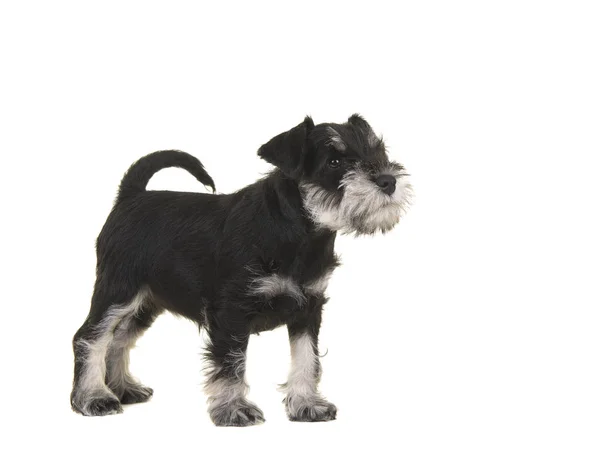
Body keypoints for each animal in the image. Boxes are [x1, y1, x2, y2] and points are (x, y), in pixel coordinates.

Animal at [70, 114, 412, 428]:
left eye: (378, 152)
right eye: (335, 161)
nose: (388, 181)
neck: (300, 233)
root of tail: (132, 195)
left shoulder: (309, 308)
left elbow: (306, 358)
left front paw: (306, 404)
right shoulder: (231, 311)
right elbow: (231, 363)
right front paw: (234, 409)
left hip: (148, 301)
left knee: (119, 338)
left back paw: (123, 388)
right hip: (118, 291)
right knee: (90, 337)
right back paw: (94, 398)